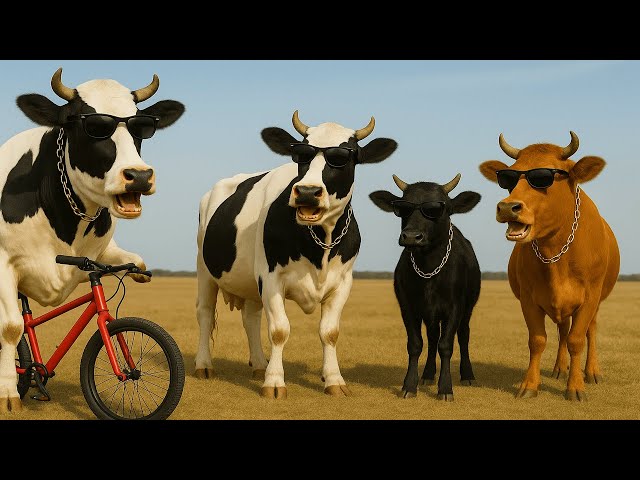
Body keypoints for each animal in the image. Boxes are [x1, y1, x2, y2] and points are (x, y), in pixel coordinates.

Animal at [0, 68, 184, 413]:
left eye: (142, 125)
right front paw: (7, 393)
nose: (139, 176)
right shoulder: (3, 264)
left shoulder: (95, 257)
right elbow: (11, 327)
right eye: (91, 125)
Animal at [195, 111, 398, 399]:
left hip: (249, 282)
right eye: (301, 154)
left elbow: (330, 332)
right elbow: (279, 330)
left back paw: (259, 365)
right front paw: (274, 383)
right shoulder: (270, 278)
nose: (308, 192)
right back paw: (204, 366)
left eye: (344, 156)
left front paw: (334, 380)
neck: (320, 243)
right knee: (204, 312)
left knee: (251, 318)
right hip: (205, 270)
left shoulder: (343, 282)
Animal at [369, 174, 481, 401]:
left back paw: (467, 375)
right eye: (402, 208)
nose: (412, 236)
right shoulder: (407, 306)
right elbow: (415, 344)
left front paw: (445, 388)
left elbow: (446, 345)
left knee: (463, 336)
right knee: (432, 338)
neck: (428, 271)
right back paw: (428, 374)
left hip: (468, 309)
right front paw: (409, 385)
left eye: (440, 208)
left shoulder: (455, 308)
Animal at [479, 132, 620, 401]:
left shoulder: (590, 297)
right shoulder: (528, 298)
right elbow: (538, 340)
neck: (556, 255)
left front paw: (576, 387)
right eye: (509, 177)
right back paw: (560, 368)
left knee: (590, 330)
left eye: (545, 177)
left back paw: (592, 372)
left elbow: (578, 339)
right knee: (562, 331)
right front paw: (530, 385)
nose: (507, 207)